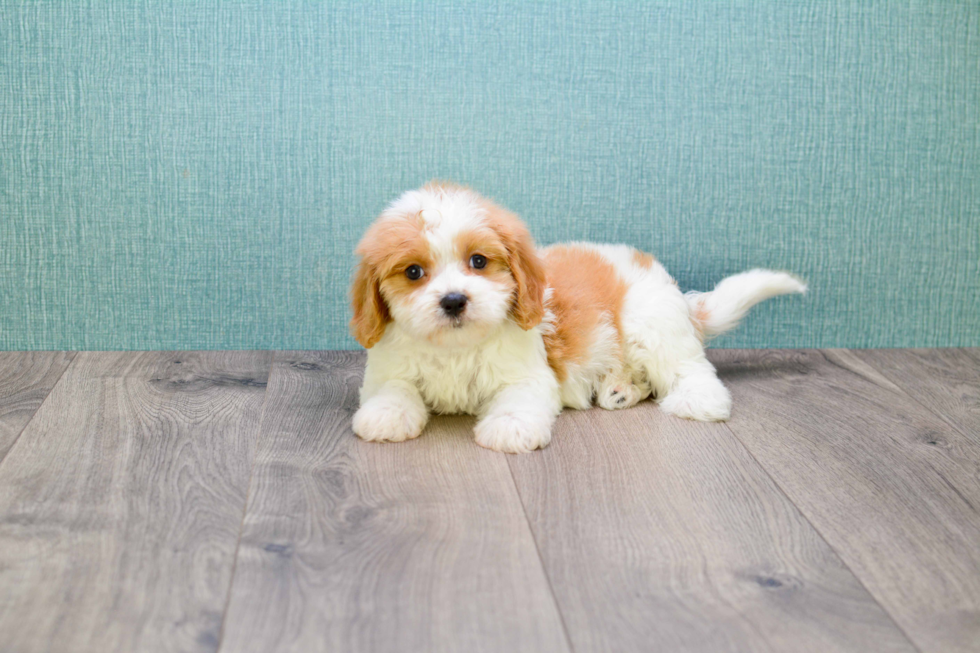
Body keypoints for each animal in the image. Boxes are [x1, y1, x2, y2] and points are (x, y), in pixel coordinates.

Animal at [348, 181, 808, 450]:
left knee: (689, 368)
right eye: (413, 272)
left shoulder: (528, 375)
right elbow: (393, 389)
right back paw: (620, 390)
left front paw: (510, 427)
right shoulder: (388, 368)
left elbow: (518, 399)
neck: (456, 347)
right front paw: (387, 416)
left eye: (478, 261)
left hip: (651, 325)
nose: (454, 300)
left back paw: (697, 401)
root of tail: (672, 288)